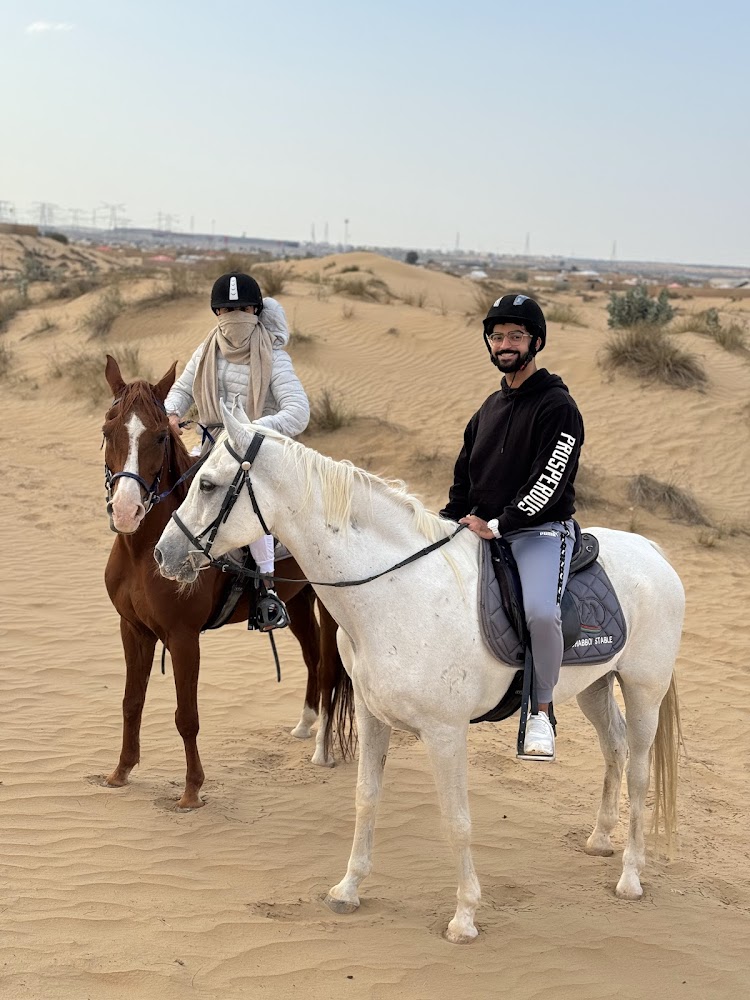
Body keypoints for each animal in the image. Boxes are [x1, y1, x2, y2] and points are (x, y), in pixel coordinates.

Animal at [101, 356, 345, 810]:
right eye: (108, 431)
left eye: (160, 437)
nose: (126, 511)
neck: (143, 553)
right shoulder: (133, 630)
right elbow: (131, 702)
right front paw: (120, 772)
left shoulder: (183, 638)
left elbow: (187, 716)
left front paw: (192, 790)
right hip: (297, 601)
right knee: (312, 659)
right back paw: (304, 725)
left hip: (333, 607)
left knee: (329, 669)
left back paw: (322, 750)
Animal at [154, 402, 685, 941]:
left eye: (208, 485)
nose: (163, 554)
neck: (393, 589)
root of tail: (653, 552)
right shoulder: (372, 717)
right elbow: (366, 798)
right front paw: (348, 889)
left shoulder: (445, 732)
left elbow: (457, 820)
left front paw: (465, 915)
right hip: (594, 686)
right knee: (614, 747)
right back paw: (600, 839)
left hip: (643, 690)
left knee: (638, 771)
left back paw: (630, 877)